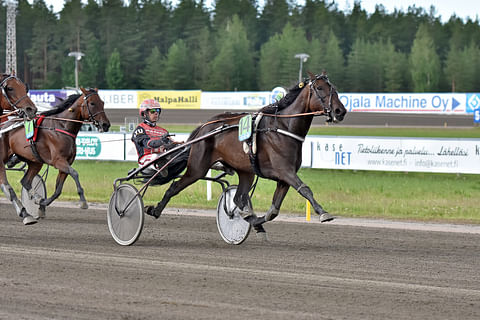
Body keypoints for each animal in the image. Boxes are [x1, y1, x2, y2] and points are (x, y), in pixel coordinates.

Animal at [0, 86, 109, 224]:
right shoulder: (58, 161)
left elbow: (58, 190)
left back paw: (35, 198)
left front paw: (42, 204)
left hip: (36, 161)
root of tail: (4, 126)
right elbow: (74, 173)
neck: (62, 127)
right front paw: (83, 201)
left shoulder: (66, 163)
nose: (106, 124)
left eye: (103, 103)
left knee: (25, 181)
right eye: (92, 103)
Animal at [148, 71, 346, 235]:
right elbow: (305, 189)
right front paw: (323, 213)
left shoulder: (283, 178)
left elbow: (274, 210)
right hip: (197, 168)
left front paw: (256, 221)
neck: (283, 128)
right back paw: (155, 210)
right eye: (320, 88)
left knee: (237, 198)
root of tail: (204, 127)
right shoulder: (284, 171)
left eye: (334, 88)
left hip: (246, 171)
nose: (340, 111)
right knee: (174, 186)